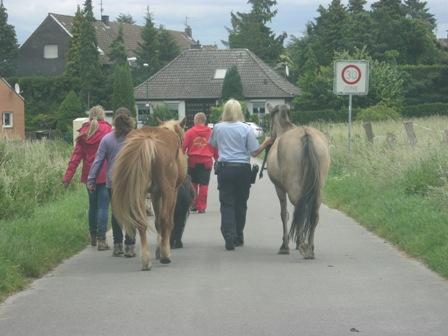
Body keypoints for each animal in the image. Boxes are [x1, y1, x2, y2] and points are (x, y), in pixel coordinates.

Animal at [114, 119, 189, 270]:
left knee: (141, 221)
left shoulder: (155, 194)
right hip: (167, 191)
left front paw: (158, 249)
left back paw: (146, 260)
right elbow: (166, 220)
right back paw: (166, 256)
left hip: (139, 193)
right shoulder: (172, 191)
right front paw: (163, 250)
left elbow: (157, 221)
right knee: (166, 219)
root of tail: (148, 139)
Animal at [266, 103, 328, 258]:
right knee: (313, 214)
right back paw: (310, 248)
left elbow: (284, 214)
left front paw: (285, 245)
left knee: (301, 211)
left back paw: (302, 247)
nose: (270, 136)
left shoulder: (280, 188)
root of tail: (306, 134)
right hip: (318, 188)